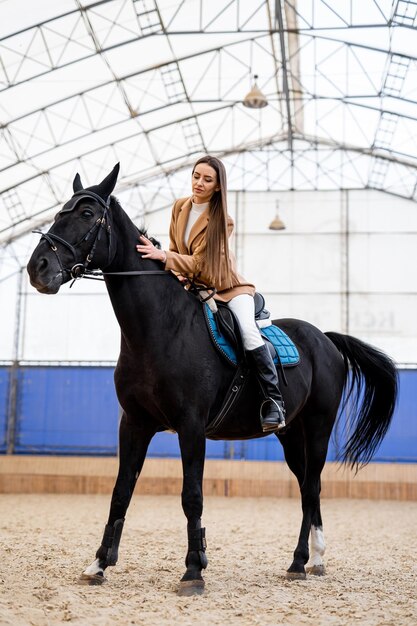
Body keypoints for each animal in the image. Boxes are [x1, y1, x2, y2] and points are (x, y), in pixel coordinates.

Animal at [26, 166, 396, 596]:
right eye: (59, 211)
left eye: (86, 214)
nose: (38, 268)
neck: (160, 328)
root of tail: (325, 339)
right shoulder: (133, 424)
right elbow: (121, 493)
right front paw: (99, 564)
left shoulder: (191, 426)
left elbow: (192, 496)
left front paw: (193, 570)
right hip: (289, 434)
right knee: (306, 487)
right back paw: (304, 562)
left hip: (318, 427)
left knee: (312, 487)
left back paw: (307, 560)